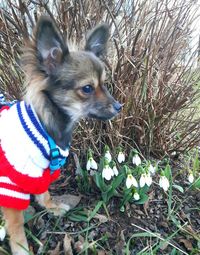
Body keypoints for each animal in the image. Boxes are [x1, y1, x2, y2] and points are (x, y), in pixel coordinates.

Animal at [0, 16, 122, 254]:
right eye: (87, 88)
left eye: (104, 84)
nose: (118, 106)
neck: (45, 127)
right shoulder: (9, 184)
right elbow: (16, 225)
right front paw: (21, 248)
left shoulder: (39, 172)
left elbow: (44, 192)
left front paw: (51, 207)